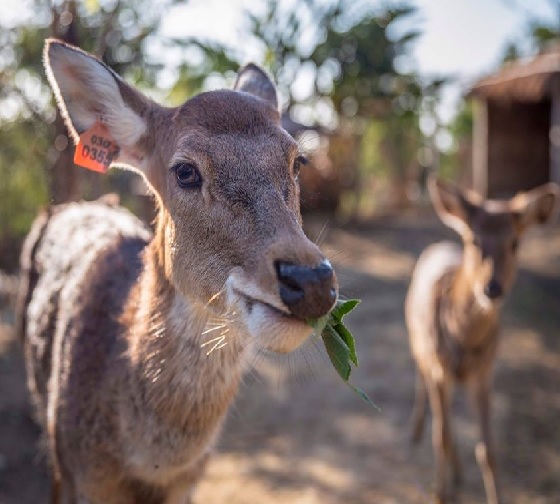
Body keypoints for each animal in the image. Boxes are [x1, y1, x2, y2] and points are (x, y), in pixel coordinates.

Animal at [404, 176, 556, 504]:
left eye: (515, 242)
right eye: (474, 240)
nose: (492, 288)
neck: (463, 336)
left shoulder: (485, 372)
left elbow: (488, 450)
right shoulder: (440, 368)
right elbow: (441, 437)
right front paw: (439, 494)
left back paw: (457, 471)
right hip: (418, 341)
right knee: (424, 385)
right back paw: (416, 430)